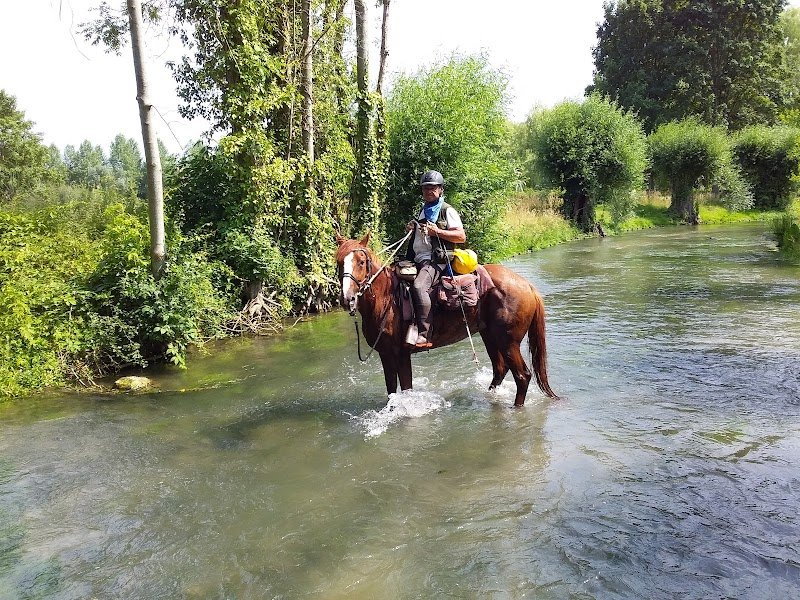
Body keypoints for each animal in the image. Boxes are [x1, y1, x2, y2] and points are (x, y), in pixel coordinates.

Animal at [335, 233, 558, 406]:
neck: (386, 299)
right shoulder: (386, 353)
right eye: (338, 263)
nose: (348, 299)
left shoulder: (402, 353)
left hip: (508, 341)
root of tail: (528, 285)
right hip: (490, 336)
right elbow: (391, 390)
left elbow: (406, 389)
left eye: (361, 262)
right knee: (500, 370)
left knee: (522, 376)